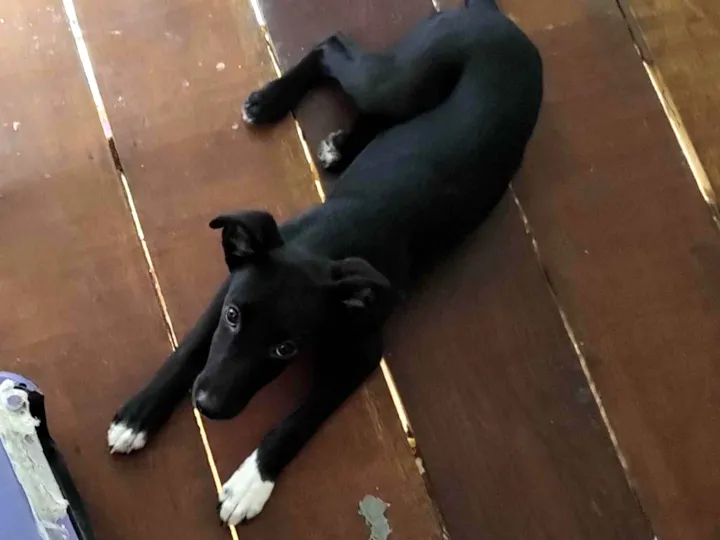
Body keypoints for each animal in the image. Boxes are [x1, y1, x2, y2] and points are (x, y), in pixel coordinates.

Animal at [107, 0, 542, 526]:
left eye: (286, 349)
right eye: (233, 317)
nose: (206, 405)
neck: (323, 247)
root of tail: (490, 15)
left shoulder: (362, 352)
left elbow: (298, 419)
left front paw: (252, 481)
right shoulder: (230, 285)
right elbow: (189, 347)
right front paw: (139, 415)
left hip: (401, 83)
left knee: (342, 57)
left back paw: (326, 137)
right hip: (400, 83)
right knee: (334, 49)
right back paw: (278, 107)